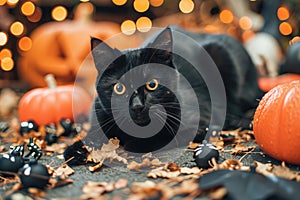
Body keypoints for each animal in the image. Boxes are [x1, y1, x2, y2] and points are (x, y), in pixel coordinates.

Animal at [63, 27, 262, 159]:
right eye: (119, 88)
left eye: (152, 85)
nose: (137, 106)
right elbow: (93, 134)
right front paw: (76, 148)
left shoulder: (198, 122)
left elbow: (165, 135)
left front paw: (134, 144)